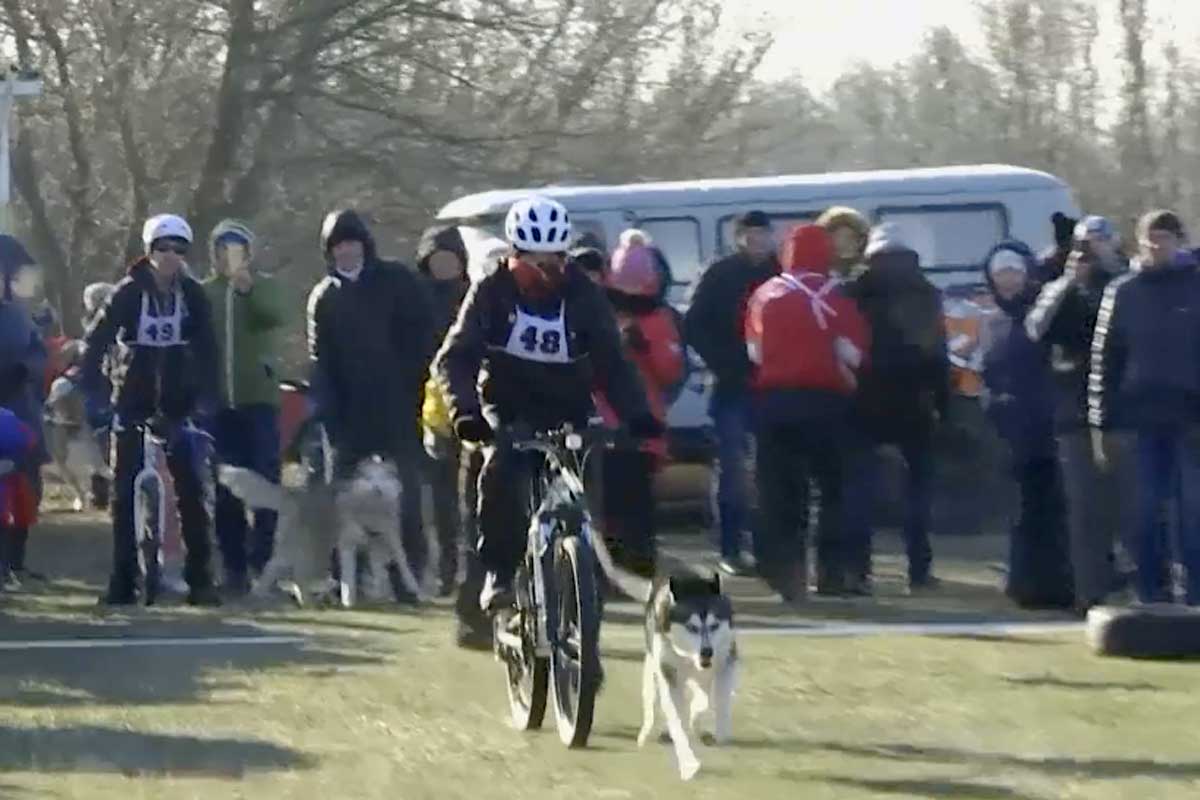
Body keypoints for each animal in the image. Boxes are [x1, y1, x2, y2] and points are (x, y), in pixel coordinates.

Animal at [82, 212, 223, 606]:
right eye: (164, 247)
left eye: (179, 247)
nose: (173, 254)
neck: (160, 286)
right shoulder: (120, 298)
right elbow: (98, 338)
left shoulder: (199, 302)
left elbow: (207, 343)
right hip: (130, 432)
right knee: (125, 486)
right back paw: (123, 586)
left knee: (188, 494)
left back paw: (200, 585)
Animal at [432, 195, 662, 618]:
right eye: (533, 260)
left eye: (554, 260)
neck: (538, 296)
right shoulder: (483, 294)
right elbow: (458, 352)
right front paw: (468, 419)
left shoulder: (592, 302)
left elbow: (612, 355)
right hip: (504, 441)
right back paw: (499, 591)